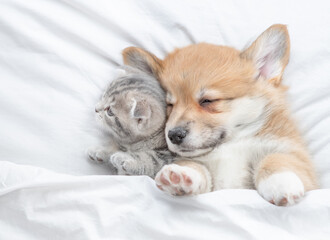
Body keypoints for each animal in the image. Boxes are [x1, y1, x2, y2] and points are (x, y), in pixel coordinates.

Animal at [123, 24, 318, 206]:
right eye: (169, 105)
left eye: (207, 101)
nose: (174, 135)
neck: (230, 145)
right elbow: (196, 167)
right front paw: (180, 176)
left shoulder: (292, 155)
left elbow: (275, 159)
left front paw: (280, 182)